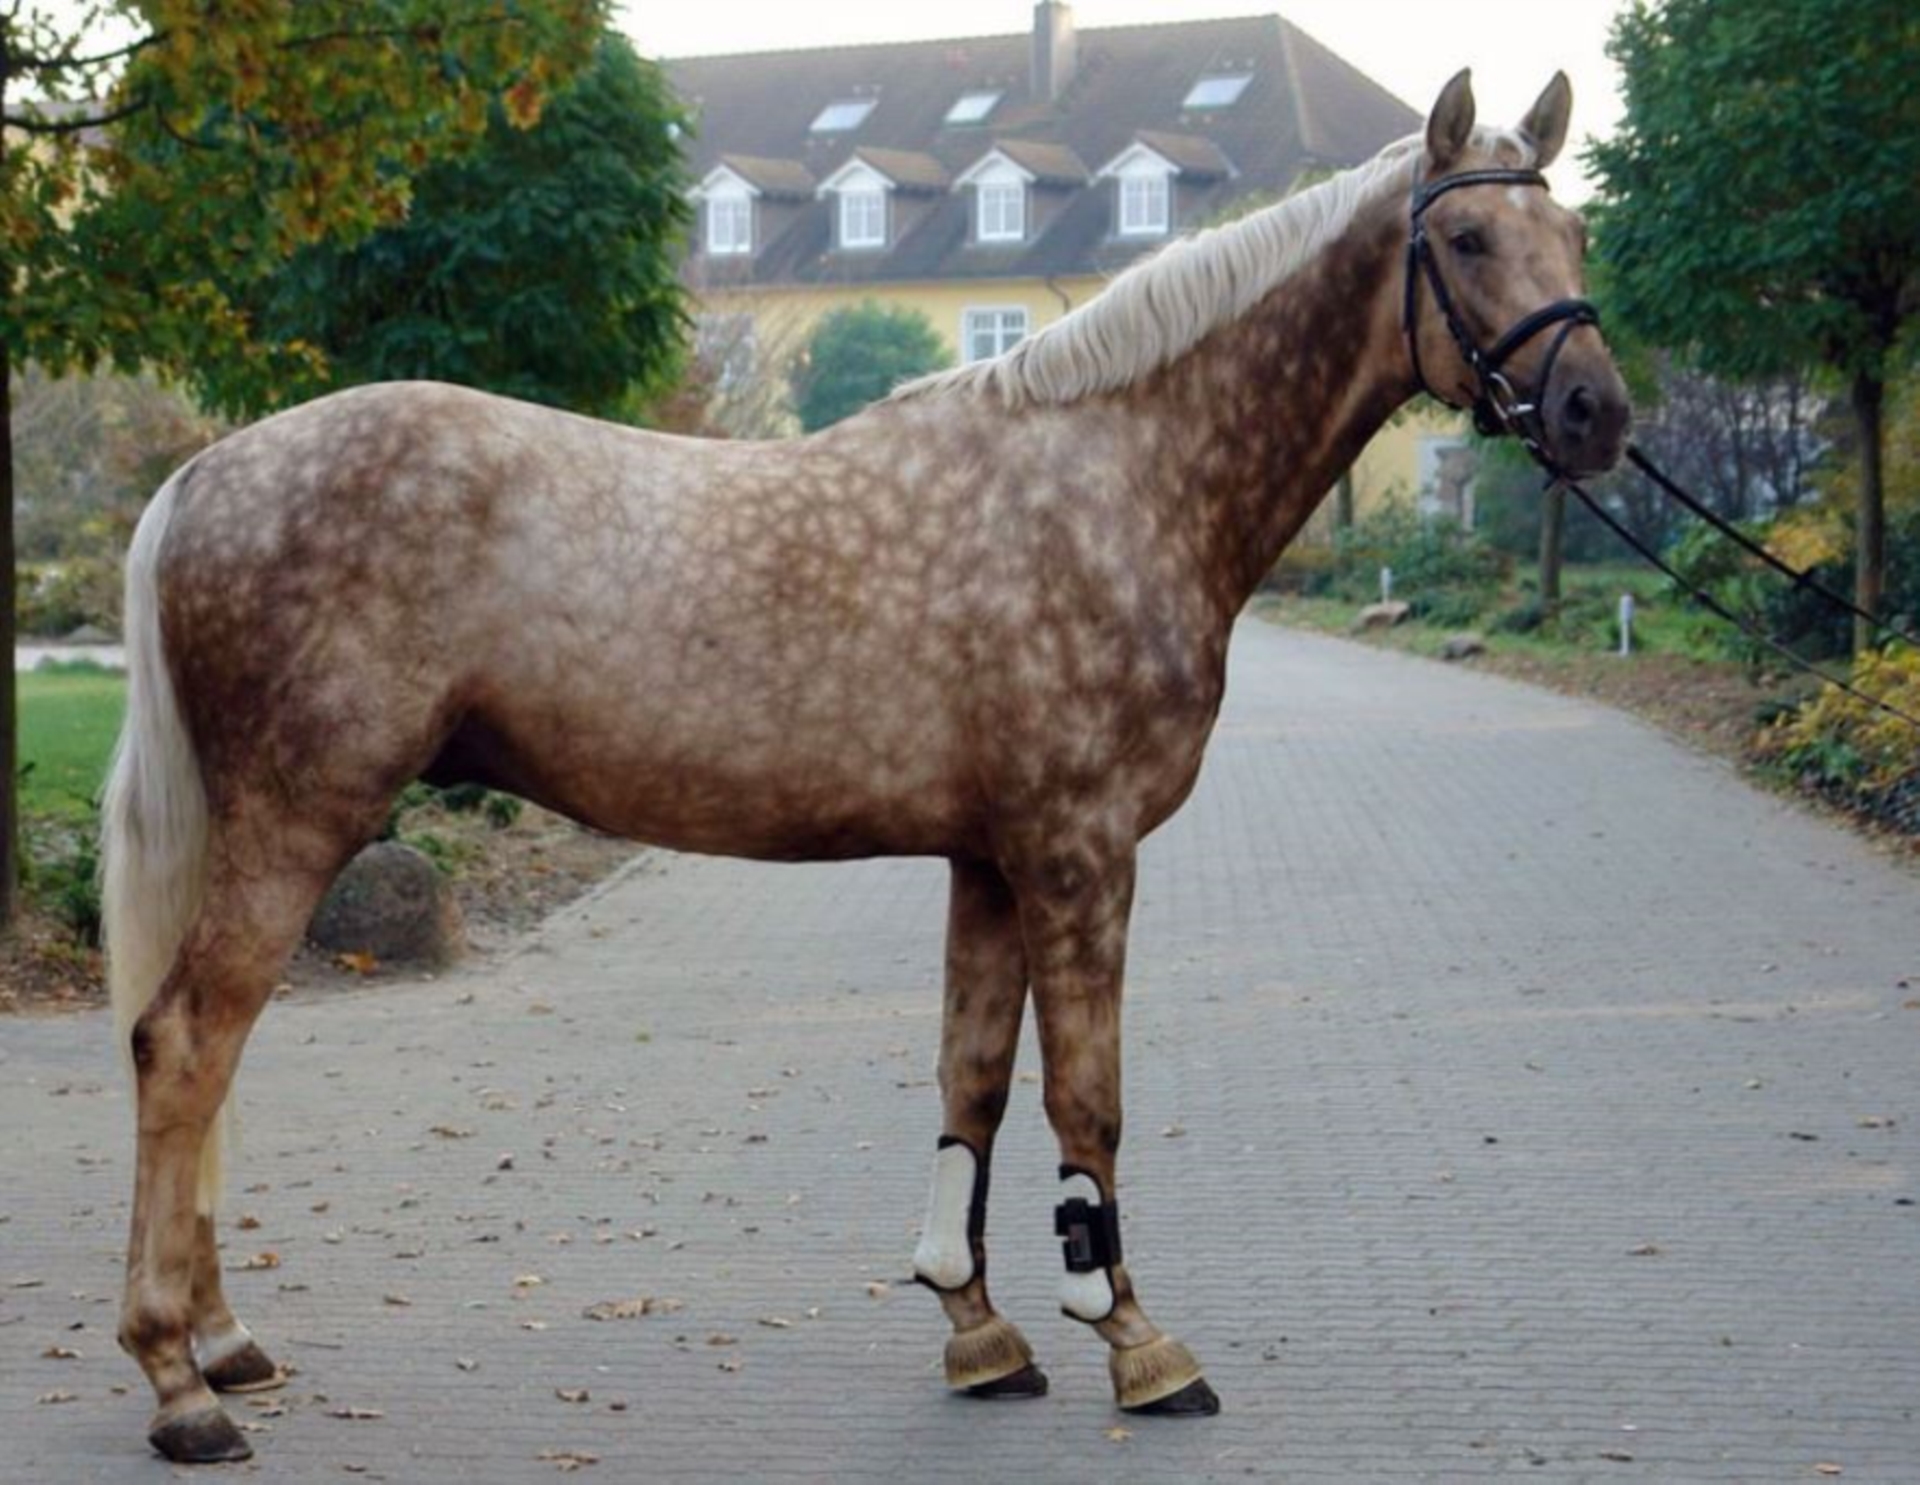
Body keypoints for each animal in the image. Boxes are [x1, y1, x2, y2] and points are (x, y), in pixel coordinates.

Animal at [108, 72, 1620, 1460]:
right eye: (1467, 239)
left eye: (1574, 233)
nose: (1595, 410)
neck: (1115, 481)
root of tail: (200, 479)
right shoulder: (1080, 851)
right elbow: (1089, 1100)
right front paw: (1137, 1343)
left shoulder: (992, 859)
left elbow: (974, 1085)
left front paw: (981, 1329)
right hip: (299, 814)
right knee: (186, 1043)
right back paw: (180, 1385)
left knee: (208, 1054)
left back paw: (226, 1342)